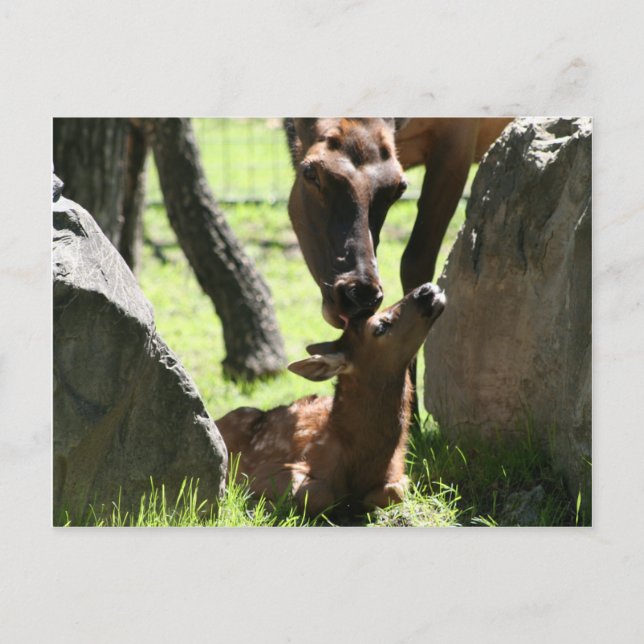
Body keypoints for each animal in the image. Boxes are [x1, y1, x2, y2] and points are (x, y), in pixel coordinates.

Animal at [216, 282, 445, 517]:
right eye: (380, 326)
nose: (427, 289)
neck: (361, 460)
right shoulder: (264, 470)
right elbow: (319, 493)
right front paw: (259, 504)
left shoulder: (399, 472)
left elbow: (393, 491)